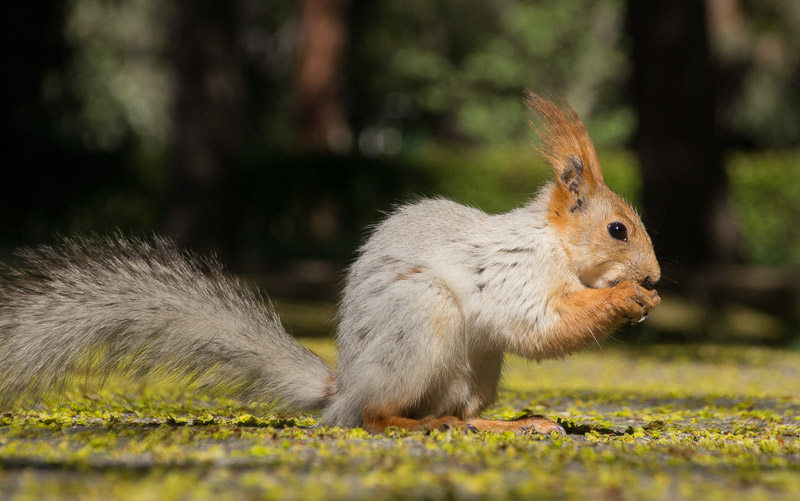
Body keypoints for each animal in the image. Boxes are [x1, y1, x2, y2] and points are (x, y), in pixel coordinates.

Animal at [0, 93, 660, 434]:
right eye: (618, 229)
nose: (654, 277)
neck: (556, 247)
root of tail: (344, 388)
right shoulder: (515, 273)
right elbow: (539, 325)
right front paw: (625, 299)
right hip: (420, 322)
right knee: (375, 416)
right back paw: (413, 425)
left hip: (476, 372)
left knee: (456, 412)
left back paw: (506, 425)